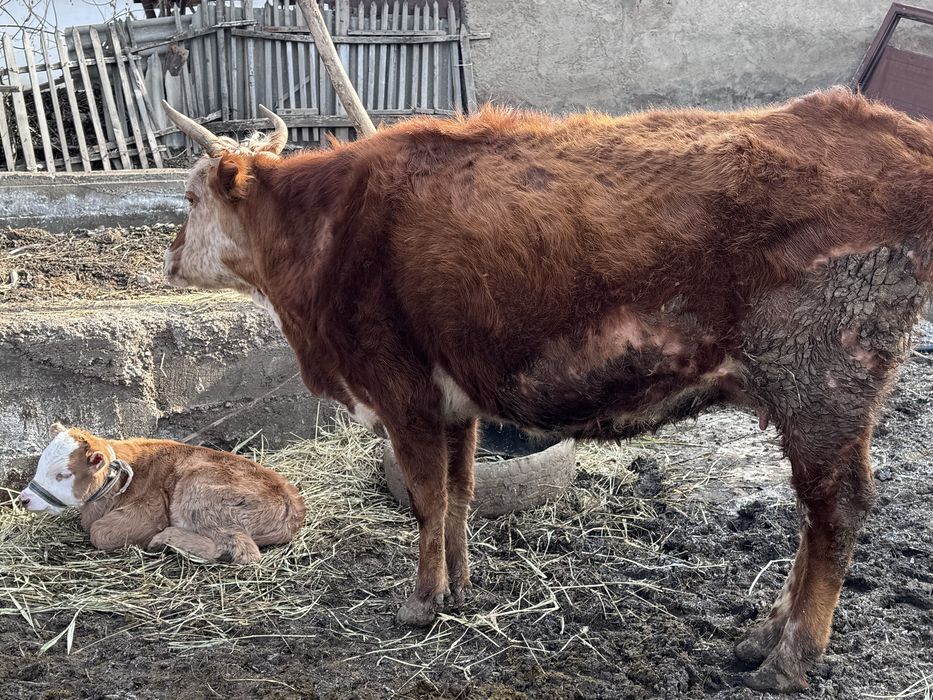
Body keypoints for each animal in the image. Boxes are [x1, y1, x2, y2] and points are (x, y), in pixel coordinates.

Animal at [18, 423, 306, 563]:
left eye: (62, 475)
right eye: (40, 463)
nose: (23, 499)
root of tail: (292, 507)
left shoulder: (151, 509)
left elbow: (99, 532)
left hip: (198, 493)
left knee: (242, 550)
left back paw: (164, 540)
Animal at [160, 88, 933, 691]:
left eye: (190, 197)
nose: (167, 259)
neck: (327, 225)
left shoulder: (402, 392)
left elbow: (426, 500)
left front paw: (421, 602)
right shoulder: (455, 403)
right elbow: (460, 492)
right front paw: (460, 585)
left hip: (823, 382)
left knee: (835, 511)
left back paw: (790, 656)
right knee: (813, 518)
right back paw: (762, 635)